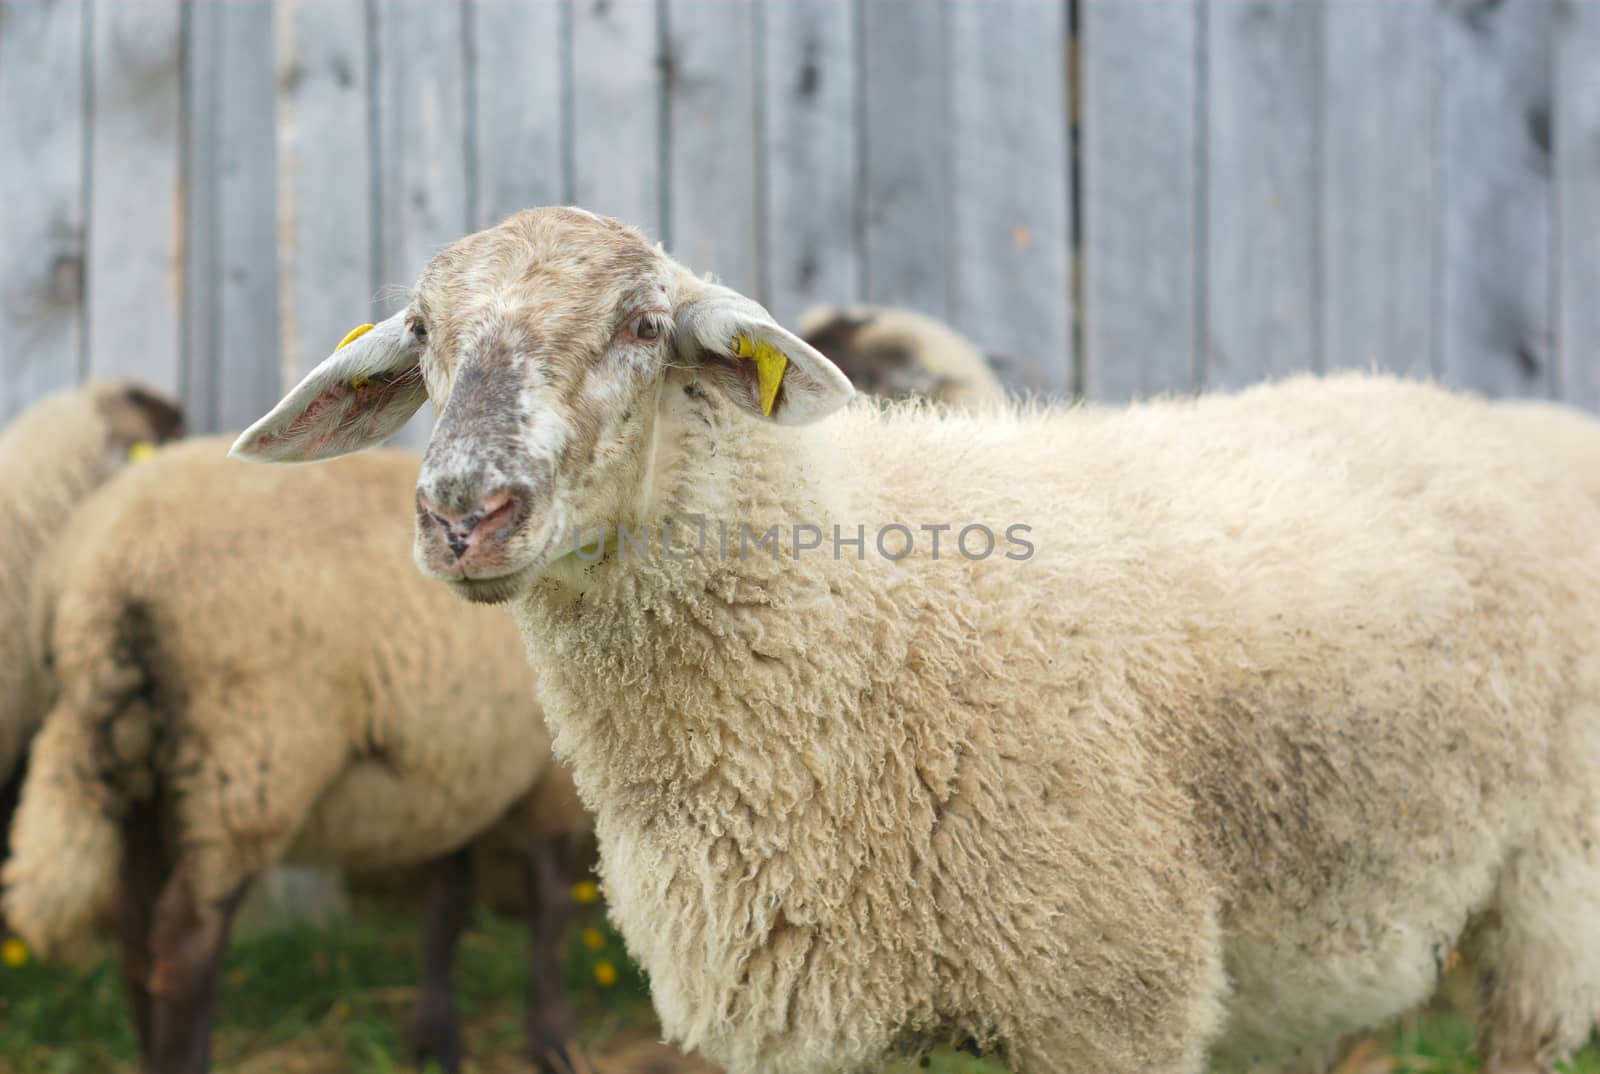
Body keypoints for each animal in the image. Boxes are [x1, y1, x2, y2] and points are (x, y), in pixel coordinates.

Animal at [1, 435, 588, 1074]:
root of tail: (106, 573)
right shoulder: (547, 778)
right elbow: (549, 904)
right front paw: (552, 1040)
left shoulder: (454, 768)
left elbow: (449, 898)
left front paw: (435, 1038)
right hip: (250, 757)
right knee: (186, 947)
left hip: (142, 766)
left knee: (137, 938)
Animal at [232, 208, 1600, 1074]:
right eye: (421, 331)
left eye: (640, 326)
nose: (466, 511)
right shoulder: (811, 1012)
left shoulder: (1113, 1001)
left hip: (1552, 896)